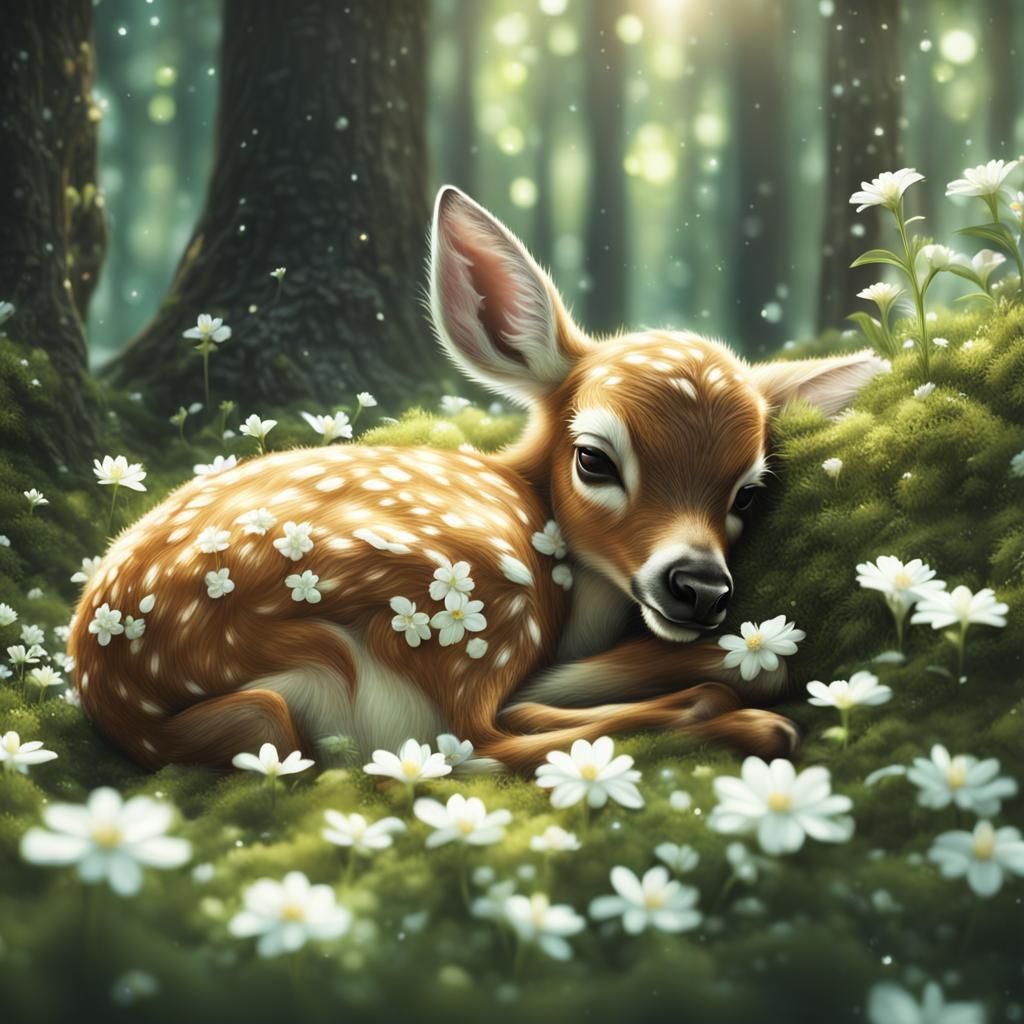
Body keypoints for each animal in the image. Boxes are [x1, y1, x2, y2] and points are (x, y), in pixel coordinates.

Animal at [69, 187, 885, 774]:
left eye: (748, 491)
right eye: (594, 458)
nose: (700, 588)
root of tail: (118, 691)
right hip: (473, 606)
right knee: (484, 739)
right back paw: (750, 719)